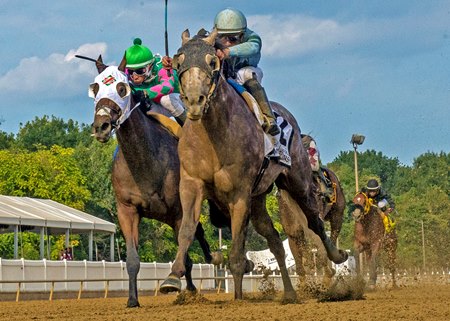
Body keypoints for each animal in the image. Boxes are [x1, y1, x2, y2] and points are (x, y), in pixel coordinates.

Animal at [89, 58, 221, 308]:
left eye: (122, 88)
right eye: (95, 88)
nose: (101, 126)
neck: (145, 163)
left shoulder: (179, 210)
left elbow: (186, 250)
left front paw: (179, 287)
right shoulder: (127, 209)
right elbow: (132, 259)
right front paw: (133, 300)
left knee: (197, 235)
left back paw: (207, 267)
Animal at [162, 28, 348, 300]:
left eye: (212, 61)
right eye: (178, 61)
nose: (195, 101)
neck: (213, 136)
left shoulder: (239, 193)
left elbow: (237, 249)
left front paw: (239, 296)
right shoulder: (191, 185)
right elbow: (187, 230)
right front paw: (172, 278)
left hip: (297, 182)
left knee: (314, 220)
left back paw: (335, 256)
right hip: (259, 199)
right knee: (275, 240)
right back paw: (289, 293)